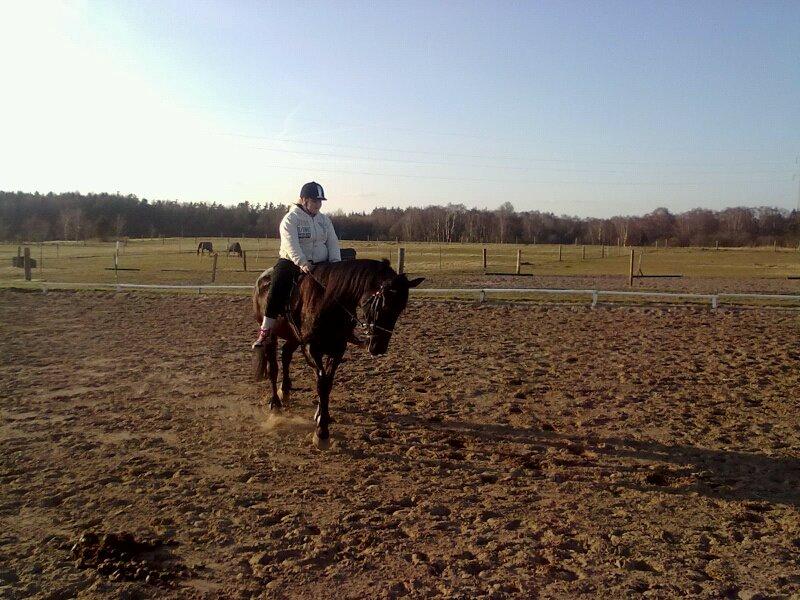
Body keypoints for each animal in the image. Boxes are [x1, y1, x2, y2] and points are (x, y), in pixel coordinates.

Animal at [253, 258, 422, 446]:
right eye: (383, 305)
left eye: (401, 309)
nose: (379, 347)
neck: (328, 302)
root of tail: (262, 279)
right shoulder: (311, 348)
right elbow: (321, 383)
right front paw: (321, 433)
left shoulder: (337, 349)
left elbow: (328, 382)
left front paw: (322, 416)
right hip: (272, 335)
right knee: (273, 368)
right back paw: (276, 405)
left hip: (294, 338)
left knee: (286, 355)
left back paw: (285, 391)